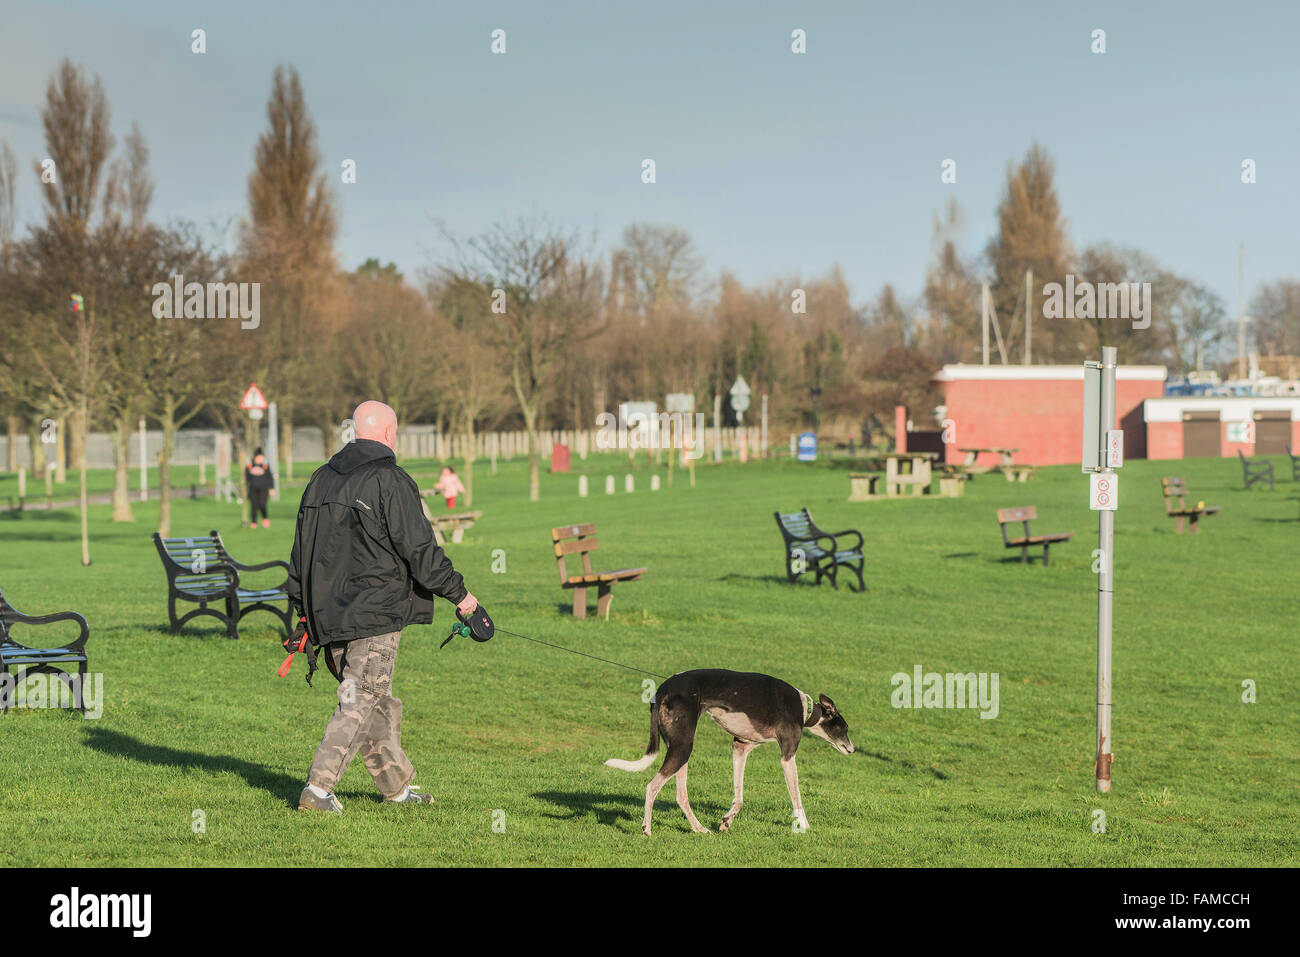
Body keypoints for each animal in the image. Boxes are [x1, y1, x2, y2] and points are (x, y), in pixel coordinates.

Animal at [605, 670, 852, 832]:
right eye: (845, 727)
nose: (852, 749)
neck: (803, 708)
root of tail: (663, 690)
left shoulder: (740, 747)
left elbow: (739, 797)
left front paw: (726, 821)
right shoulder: (787, 755)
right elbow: (797, 796)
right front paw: (805, 826)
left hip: (680, 748)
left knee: (681, 796)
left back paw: (699, 829)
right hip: (682, 747)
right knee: (652, 787)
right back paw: (647, 828)